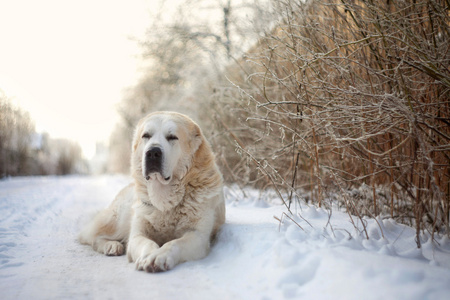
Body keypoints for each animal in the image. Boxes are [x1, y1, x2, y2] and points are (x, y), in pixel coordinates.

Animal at [79, 112, 225, 272]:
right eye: (146, 136)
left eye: (172, 137)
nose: (153, 152)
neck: (164, 198)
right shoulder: (137, 234)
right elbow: (147, 243)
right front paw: (148, 256)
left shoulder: (197, 236)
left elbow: (174, 243)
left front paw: (159, 256)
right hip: (119, 217)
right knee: (93, 237)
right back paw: (112, 245)